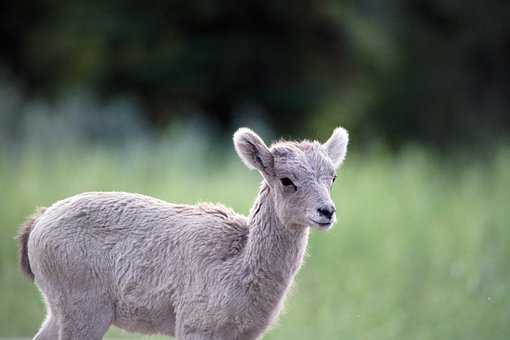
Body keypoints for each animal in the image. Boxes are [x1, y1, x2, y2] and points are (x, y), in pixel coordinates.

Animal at [17, 127, 348, 340]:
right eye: (286, 180)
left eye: (332, 177)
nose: (326, 212)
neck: (238, 264)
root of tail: (36, 225)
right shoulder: (194, 328)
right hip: (85, 313)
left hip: (58, 312)